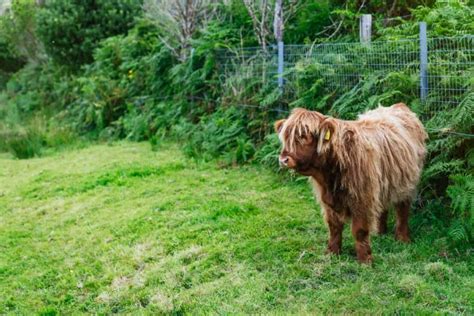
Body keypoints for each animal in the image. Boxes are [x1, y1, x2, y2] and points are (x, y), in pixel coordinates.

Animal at [274, 104, 426, 264]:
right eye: (285, 137)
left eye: (304, 136)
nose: (283, 159)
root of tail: (399, 105)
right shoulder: (327, 201)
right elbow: (334, 227)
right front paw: (332, 253)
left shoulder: (362, 199)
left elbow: (360, 230)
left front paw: (365, 260)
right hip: (384, 182)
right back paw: (380, 232)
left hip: (408, 183)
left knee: (402, 210)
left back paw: (403, 238)